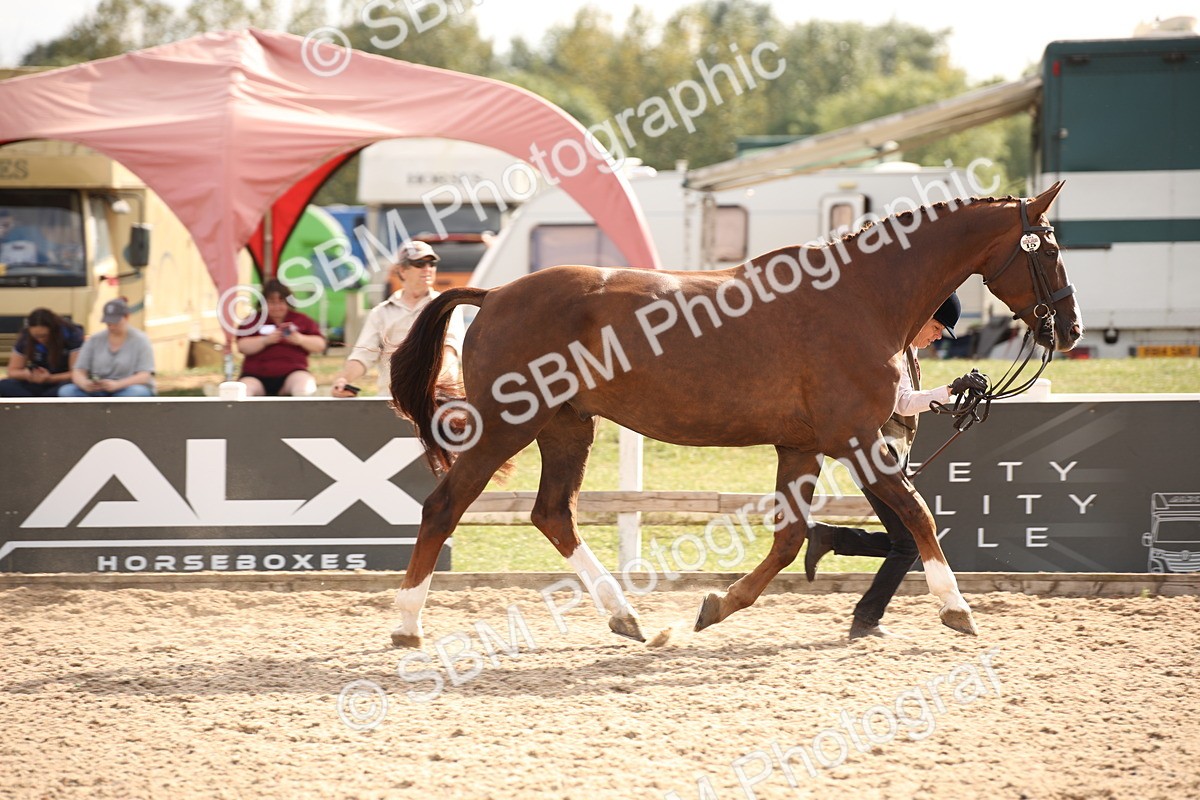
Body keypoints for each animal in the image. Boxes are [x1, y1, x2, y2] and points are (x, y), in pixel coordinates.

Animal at [385, 181, 1082, 648]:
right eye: (1048, 248)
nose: (1070, 328)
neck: (861, 297)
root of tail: (494, 294)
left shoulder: (801, 447)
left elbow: (792, 537)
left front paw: (718, 605)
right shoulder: (857, 440)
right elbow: (916, 516)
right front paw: (956, 608)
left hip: (566, 428)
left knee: (553, 514)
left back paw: (627, 618)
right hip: (508, 426)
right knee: (444, 507)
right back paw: (408, 626)